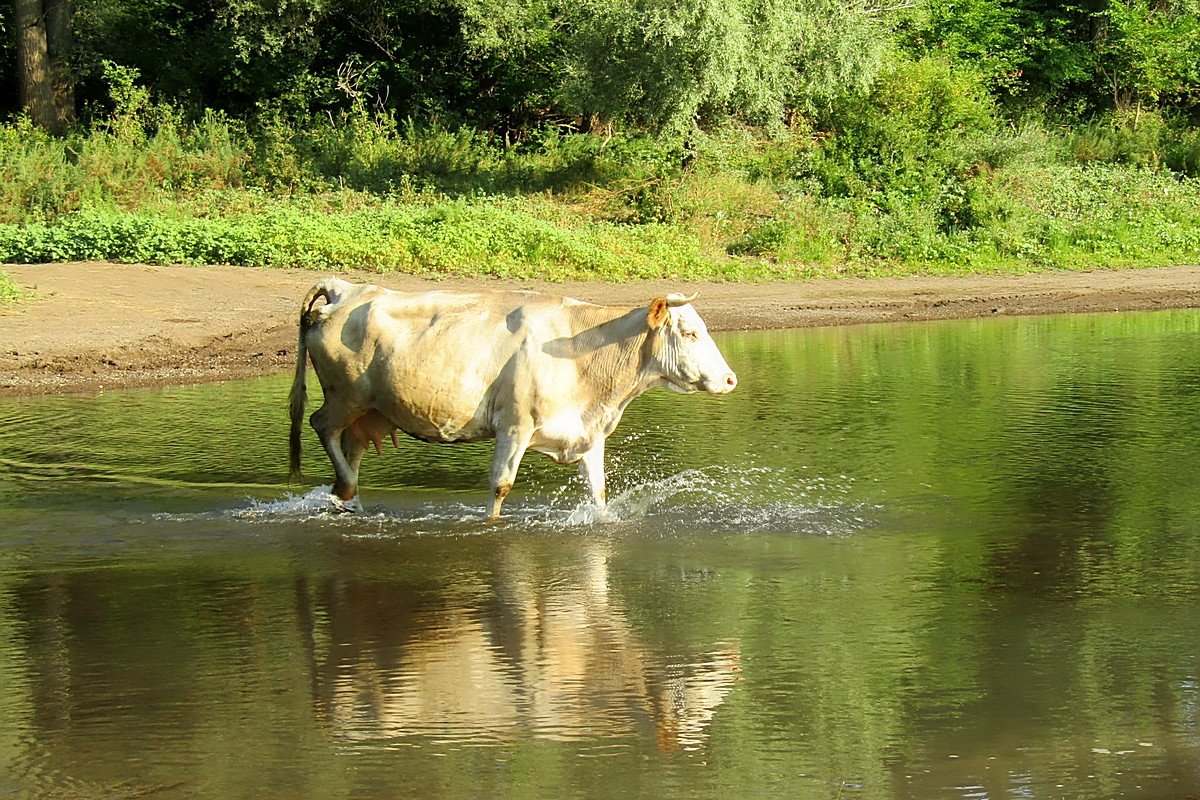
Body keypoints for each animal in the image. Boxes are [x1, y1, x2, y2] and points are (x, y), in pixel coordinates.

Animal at [291, 280, 739, 520]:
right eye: (690, 333)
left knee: (351, 446)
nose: (730, 379)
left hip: (369, 411)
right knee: (319, 424)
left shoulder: (588, 432)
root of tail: (346, 288)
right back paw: (345, 488)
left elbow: (598, 494)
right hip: (345, 395)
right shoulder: (514, 426)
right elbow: (500, 487)